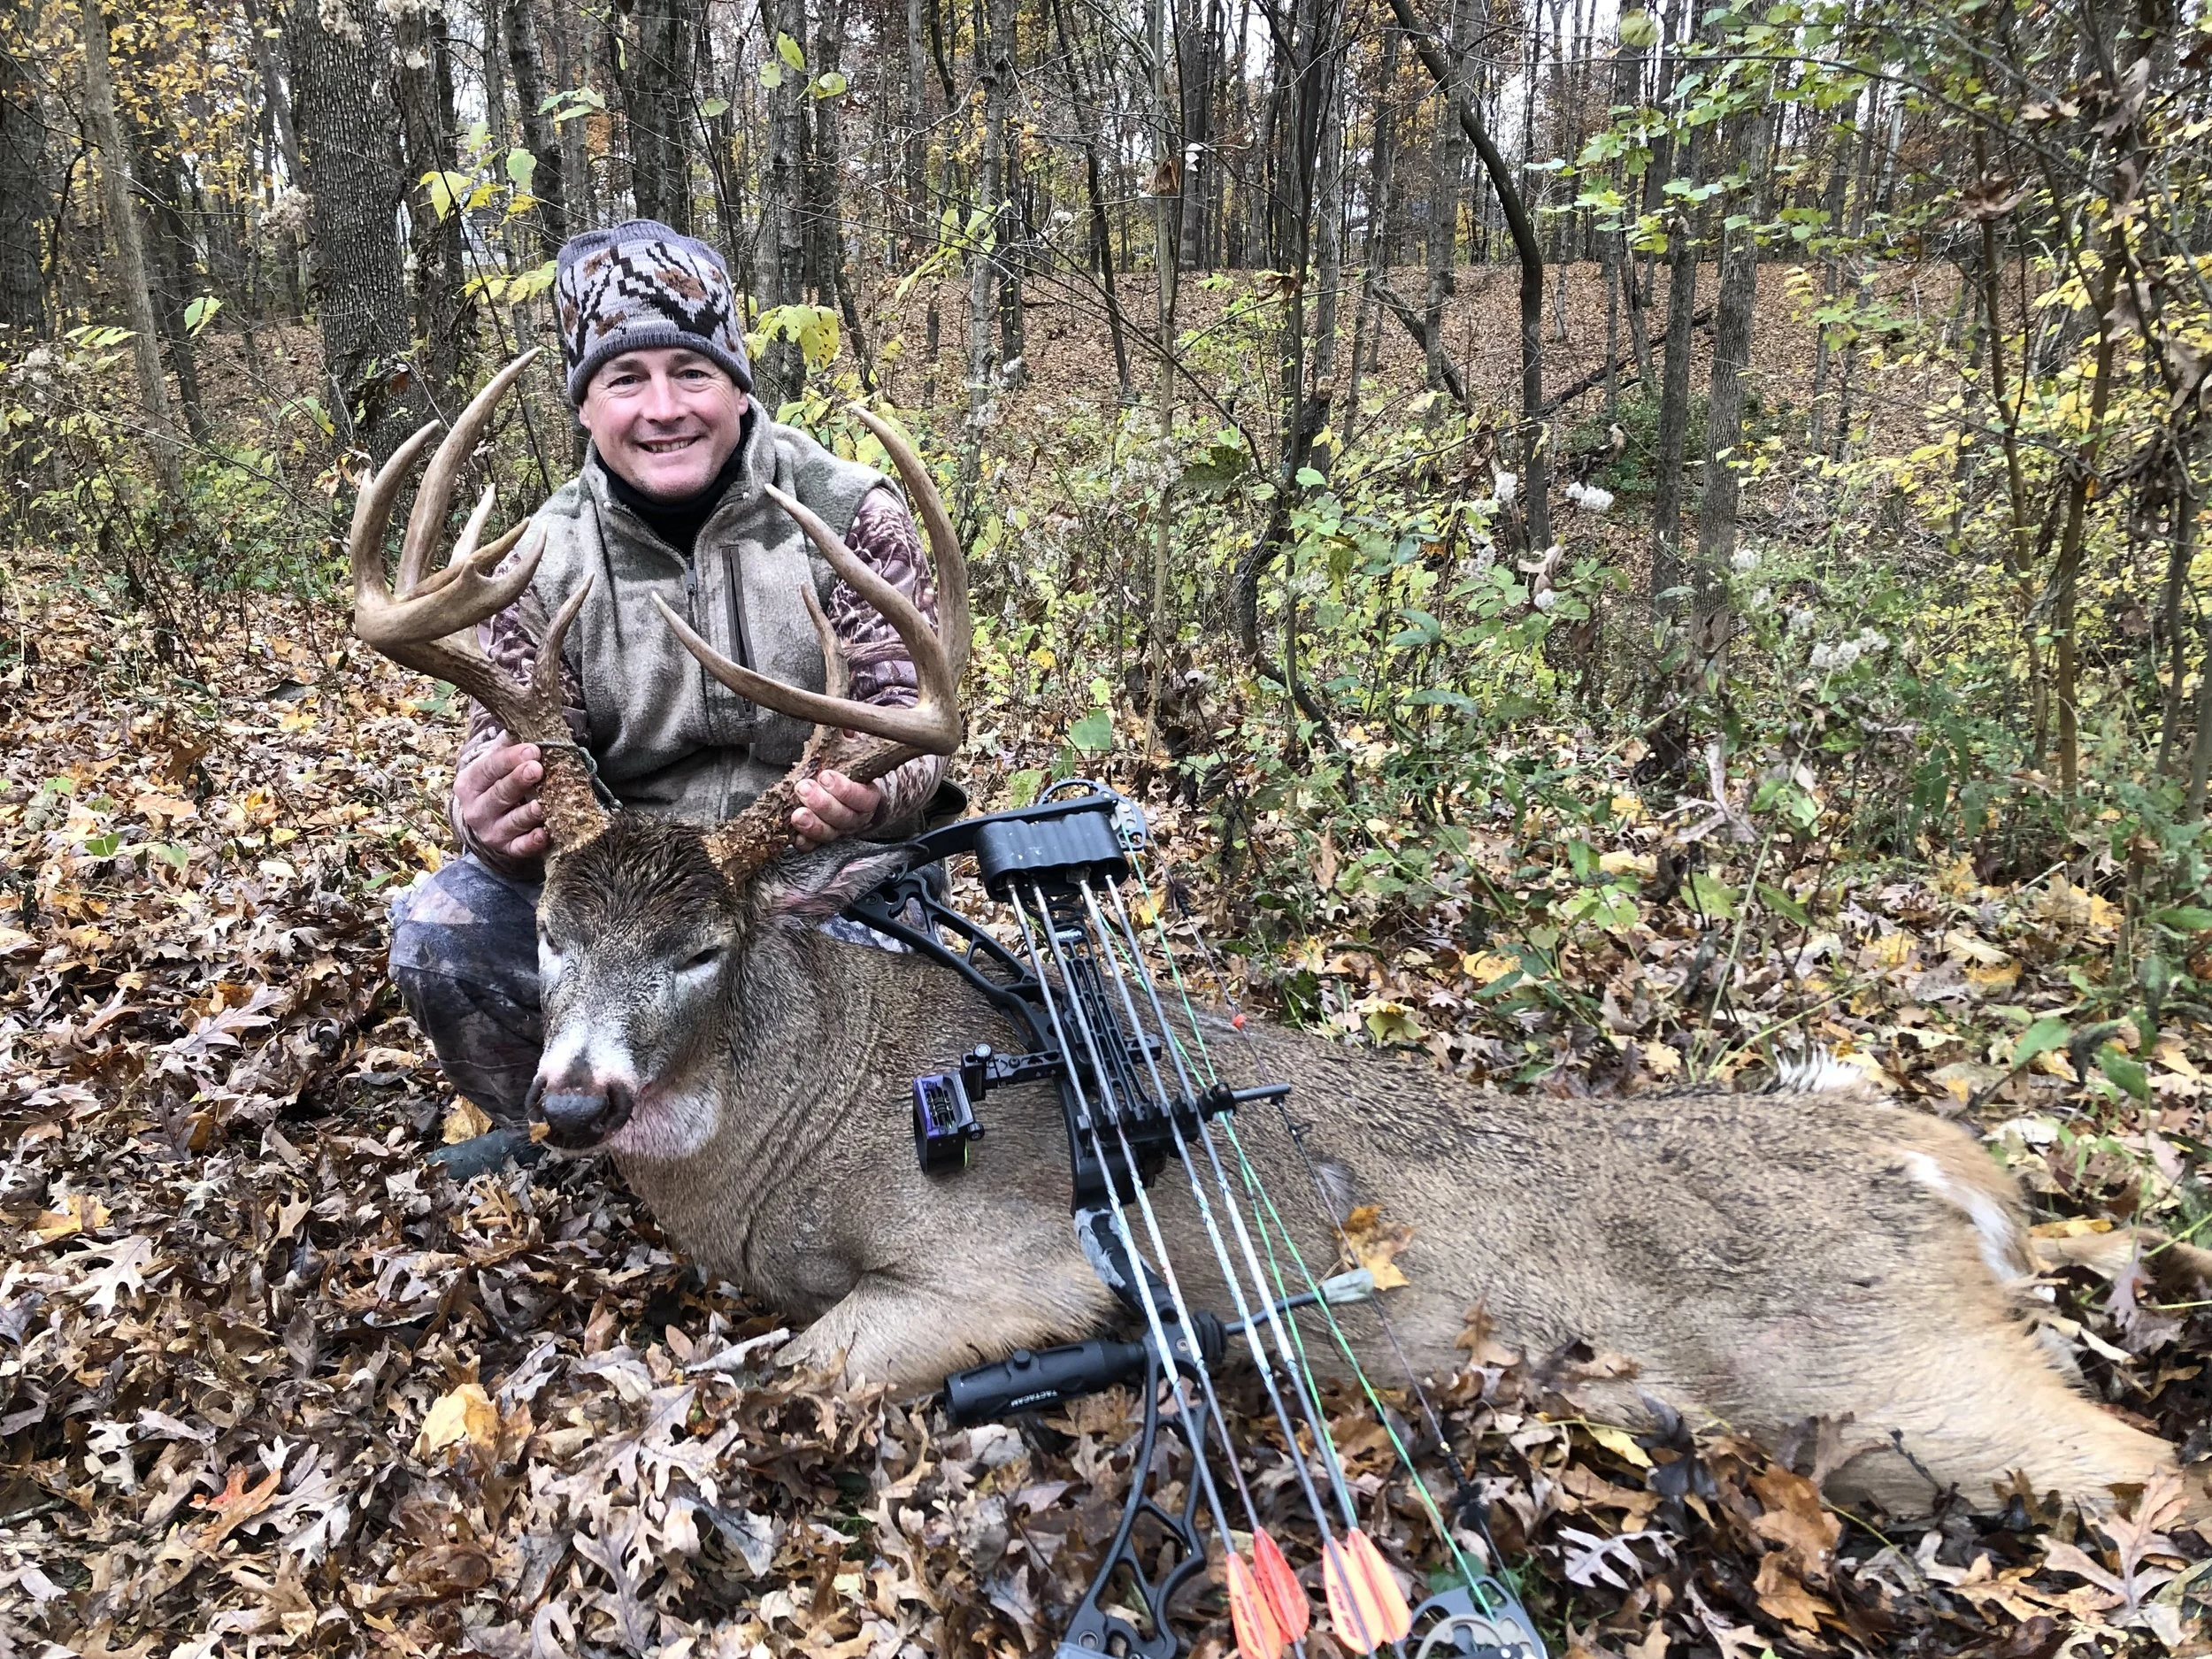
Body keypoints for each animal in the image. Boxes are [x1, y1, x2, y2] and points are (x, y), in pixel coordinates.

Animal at [351, 357, 2211, 1526]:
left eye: (704, 948)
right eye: (560, 928)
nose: (573, 1101)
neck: (786, 1128)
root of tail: (1947, 1171)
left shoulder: (1017, 1275)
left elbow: (785, 1381)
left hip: (1890, 1383)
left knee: (2159, 1477)